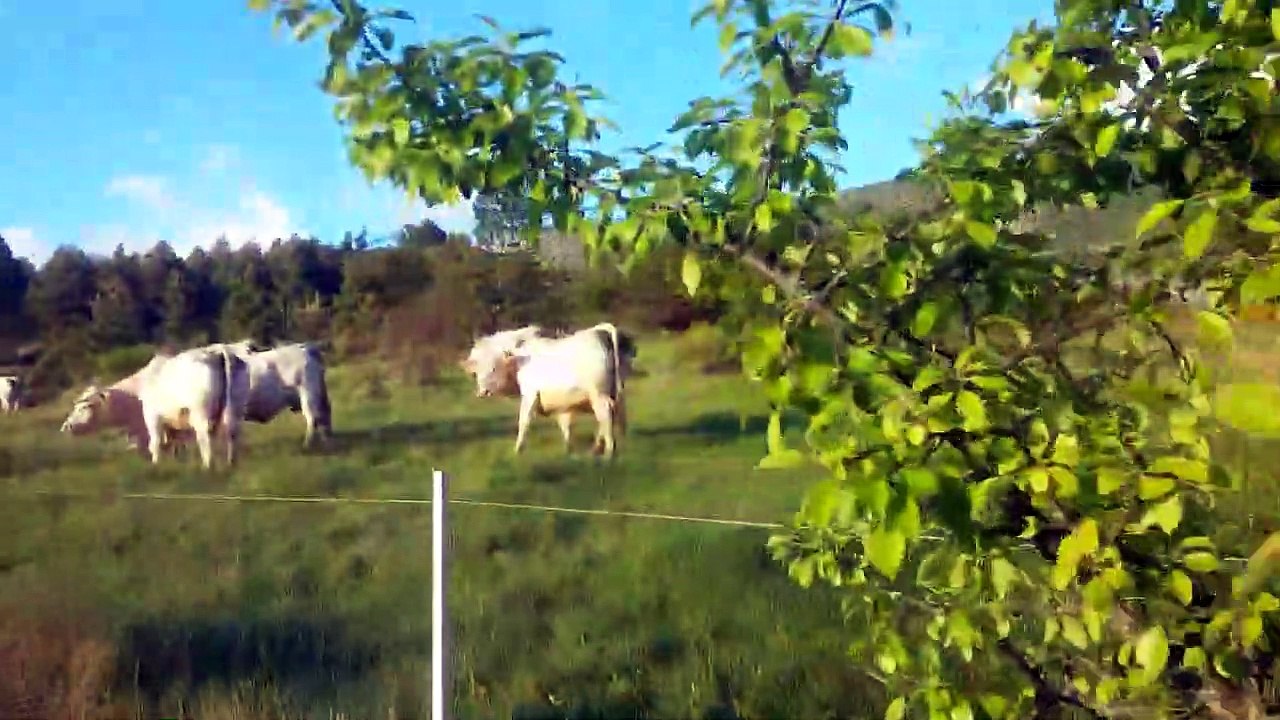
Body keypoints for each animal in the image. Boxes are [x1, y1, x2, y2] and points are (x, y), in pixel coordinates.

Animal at [59, 346, 250, 470]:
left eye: (86, 406)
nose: (66, 426)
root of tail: (215, 353)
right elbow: (174, 446)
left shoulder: (152, 418)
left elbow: (155, 444)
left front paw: (156, 466)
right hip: (234, 410)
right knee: (232, 433)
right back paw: (231, 463)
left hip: (200, 414)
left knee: (205, 437)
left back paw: (208, 466)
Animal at [461, 322, 636, 458]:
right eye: (476, 370)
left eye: (493, 367)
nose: (483, 392)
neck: (521, 357)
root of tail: (600, 332)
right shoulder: (563, 403)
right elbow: (565, 424)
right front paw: (569, 449)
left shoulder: (530, 394)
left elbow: (524, 421)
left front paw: (518, 449)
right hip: (613, 392)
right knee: (611, 415)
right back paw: (598, 448)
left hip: (598, 394)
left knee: (605, 415)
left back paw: (609, 451)